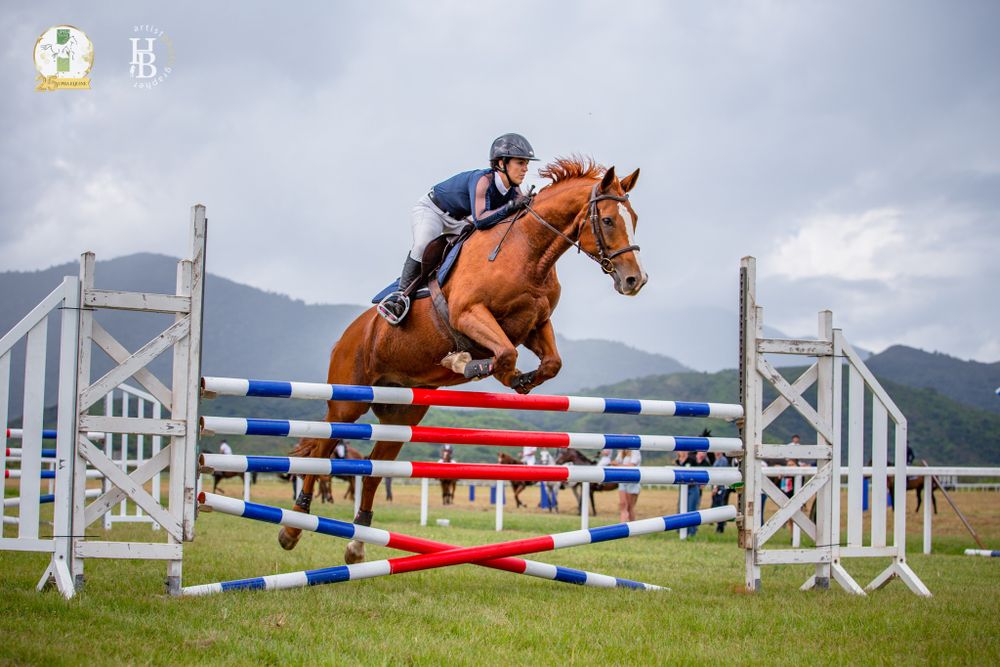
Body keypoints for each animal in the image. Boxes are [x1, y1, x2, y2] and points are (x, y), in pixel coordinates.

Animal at [277, 158, 647, 564]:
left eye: (634, 218)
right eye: (609, 220)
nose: (635, 280)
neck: (529, 251)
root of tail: (346, 336)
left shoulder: (535, 325)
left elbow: (548, 363)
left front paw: (519, 380)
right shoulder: (469, 314)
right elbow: (503, 355)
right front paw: (462, 362)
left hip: (401, 416)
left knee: (373, 469)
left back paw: (357, 542)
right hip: (347, 401)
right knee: (321, 455)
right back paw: (293, 528)